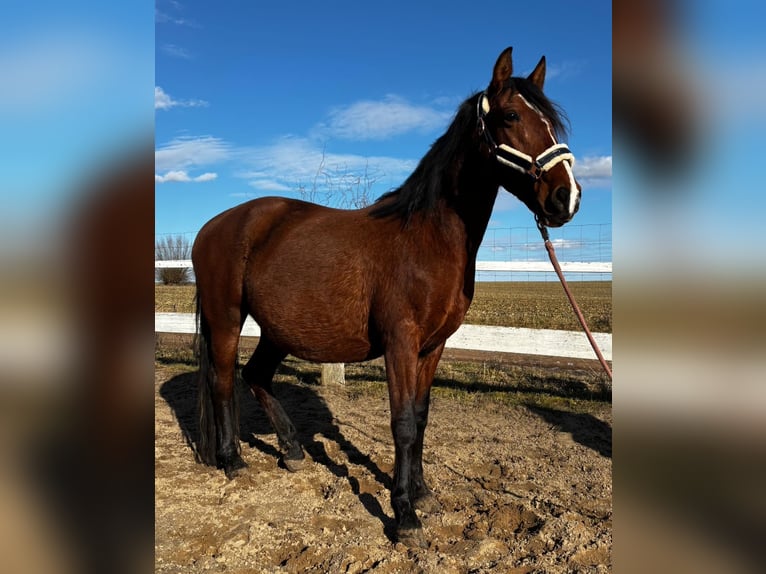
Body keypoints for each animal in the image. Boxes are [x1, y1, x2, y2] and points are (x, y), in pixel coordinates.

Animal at [192, 46, 581, 548]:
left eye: (551, 123)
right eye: (512, 116)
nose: (566, 197)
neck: (427, 238)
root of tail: (215, 224)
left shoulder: (433, 347)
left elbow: (422, 418)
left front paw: (422, 492)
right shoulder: (400, 343)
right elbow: (402, 424)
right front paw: (404, 515)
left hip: (279, 329)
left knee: (255, 375)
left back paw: (293, 450)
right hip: (226, 318)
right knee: (222, 381)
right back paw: (233, 460)